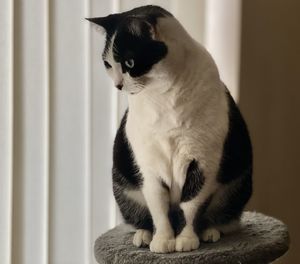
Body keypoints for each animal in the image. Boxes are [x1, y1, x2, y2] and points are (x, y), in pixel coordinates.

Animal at [88, 5, 252, 254]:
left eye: (130, 63)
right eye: (107, 64)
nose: (118, 85)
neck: (163, 93)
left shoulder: (204, 161)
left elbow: (191, 205)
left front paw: (185, 240)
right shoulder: (148, 164)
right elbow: (158, 208)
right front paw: (163, 240)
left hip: (237, 186)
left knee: (223, 218)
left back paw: (209, 232)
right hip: (122, 186)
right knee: (142, 217)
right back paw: (144, 235)